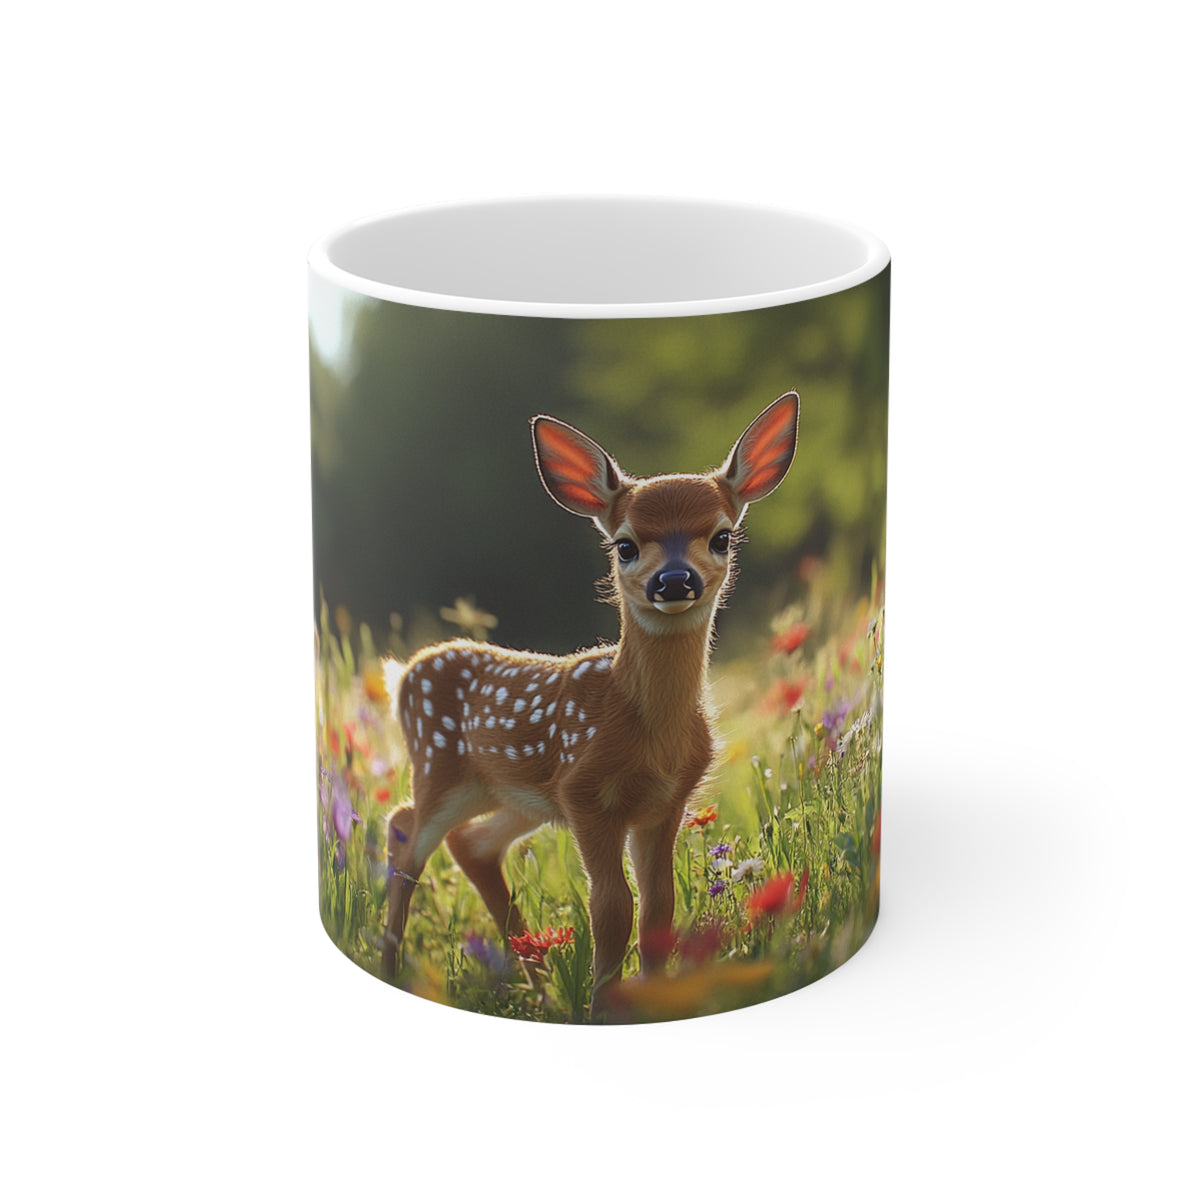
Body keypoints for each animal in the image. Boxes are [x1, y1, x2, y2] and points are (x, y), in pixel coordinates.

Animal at [380, 389, 800, 1017]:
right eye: (625, 545)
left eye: (720, 536)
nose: (674, 581)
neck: (645, 729)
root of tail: (404, 672)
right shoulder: (584, 791)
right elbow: (611, 909)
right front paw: (604, 1009)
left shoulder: (665, 801)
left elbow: (658, 907)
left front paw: (647, 1001)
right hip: (440, 768)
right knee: (405, 832)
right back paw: (393, 962)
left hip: (512, 793)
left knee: (470, 843)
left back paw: (539, 985)